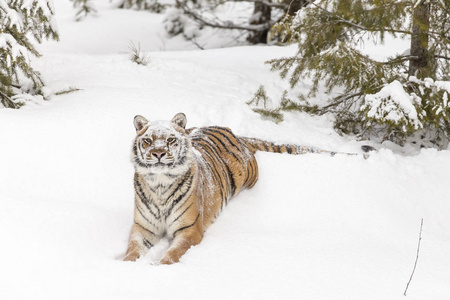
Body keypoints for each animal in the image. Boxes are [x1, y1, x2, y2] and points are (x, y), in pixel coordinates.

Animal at [123, 113, 372, 264]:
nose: (158, 153)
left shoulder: (190, 230)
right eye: (148, 140)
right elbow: (133, 248)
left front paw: (159, 265)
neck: (160, 184)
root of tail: (237, 135)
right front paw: (126, 265)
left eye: (170, 140)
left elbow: (173, 252)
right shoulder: (143, 227)